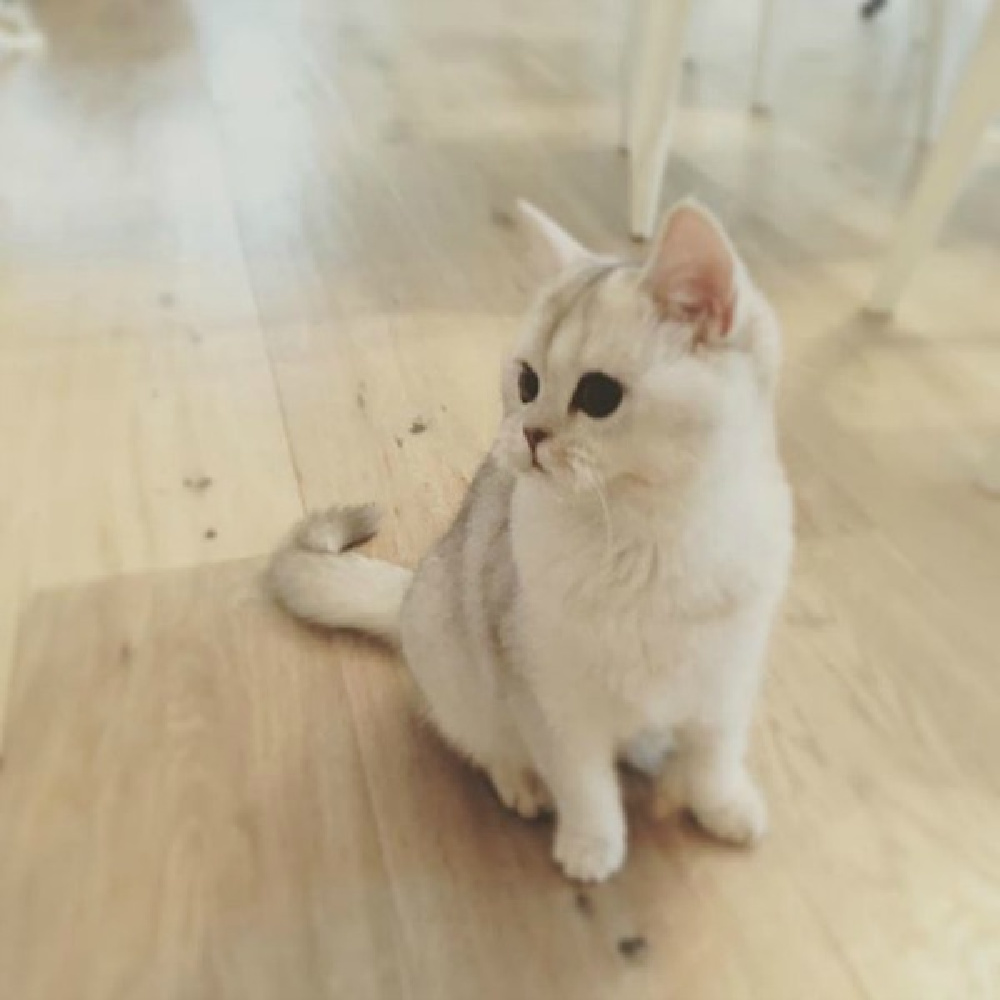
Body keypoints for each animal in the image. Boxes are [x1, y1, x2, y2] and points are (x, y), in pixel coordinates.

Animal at [268, 197, 796, 884]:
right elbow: (585, 786)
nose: (530, 434)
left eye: (598, 395)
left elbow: (716, 757)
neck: (652, 532)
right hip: (457, 669)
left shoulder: (726, 681)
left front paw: (723, 805)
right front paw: (593, 847)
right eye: (526, 382)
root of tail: (410, 591)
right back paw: (520, 780)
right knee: (481, 740)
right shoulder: (551, 701)